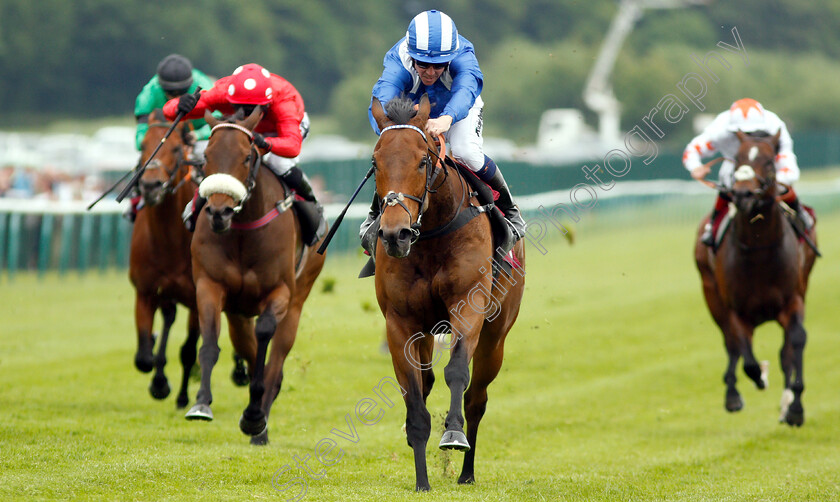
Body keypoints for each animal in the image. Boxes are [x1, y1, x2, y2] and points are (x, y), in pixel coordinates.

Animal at [185, 106, 326, 444]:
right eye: (206, 156)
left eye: (247, 157)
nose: (219, 212)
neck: (243, 230)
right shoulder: (209, 286)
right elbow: (209, 341)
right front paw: (201, 403)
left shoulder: (280, 292)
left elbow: (265, 339)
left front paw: (253, 417)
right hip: (238, 313)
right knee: (246, 348)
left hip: (298, 300)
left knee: (275, 360)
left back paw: (259, 423)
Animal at [370, 95, 520, 490]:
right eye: (375, 163)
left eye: (422, 160)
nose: (394, 234)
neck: (432, 234)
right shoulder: (400, 323)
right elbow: (414, 391)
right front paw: (422, 479)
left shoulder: (469, 306)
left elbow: (456, 371)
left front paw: (453, 434)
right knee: (426, 382)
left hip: (496, 336)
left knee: (476, 398)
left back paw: (466, 473)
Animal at [692, 131, 816, 426]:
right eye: (737, 159)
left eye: (770, 161)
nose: (743, 194)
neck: (760, 253)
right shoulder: (736, 310)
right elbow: (745, 357)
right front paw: (760, 377)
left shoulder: (793, 300)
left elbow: (796, 342)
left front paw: (795, 407)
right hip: (710, 292)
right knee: (730, 344)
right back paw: (733, 395)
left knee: (786, 350)